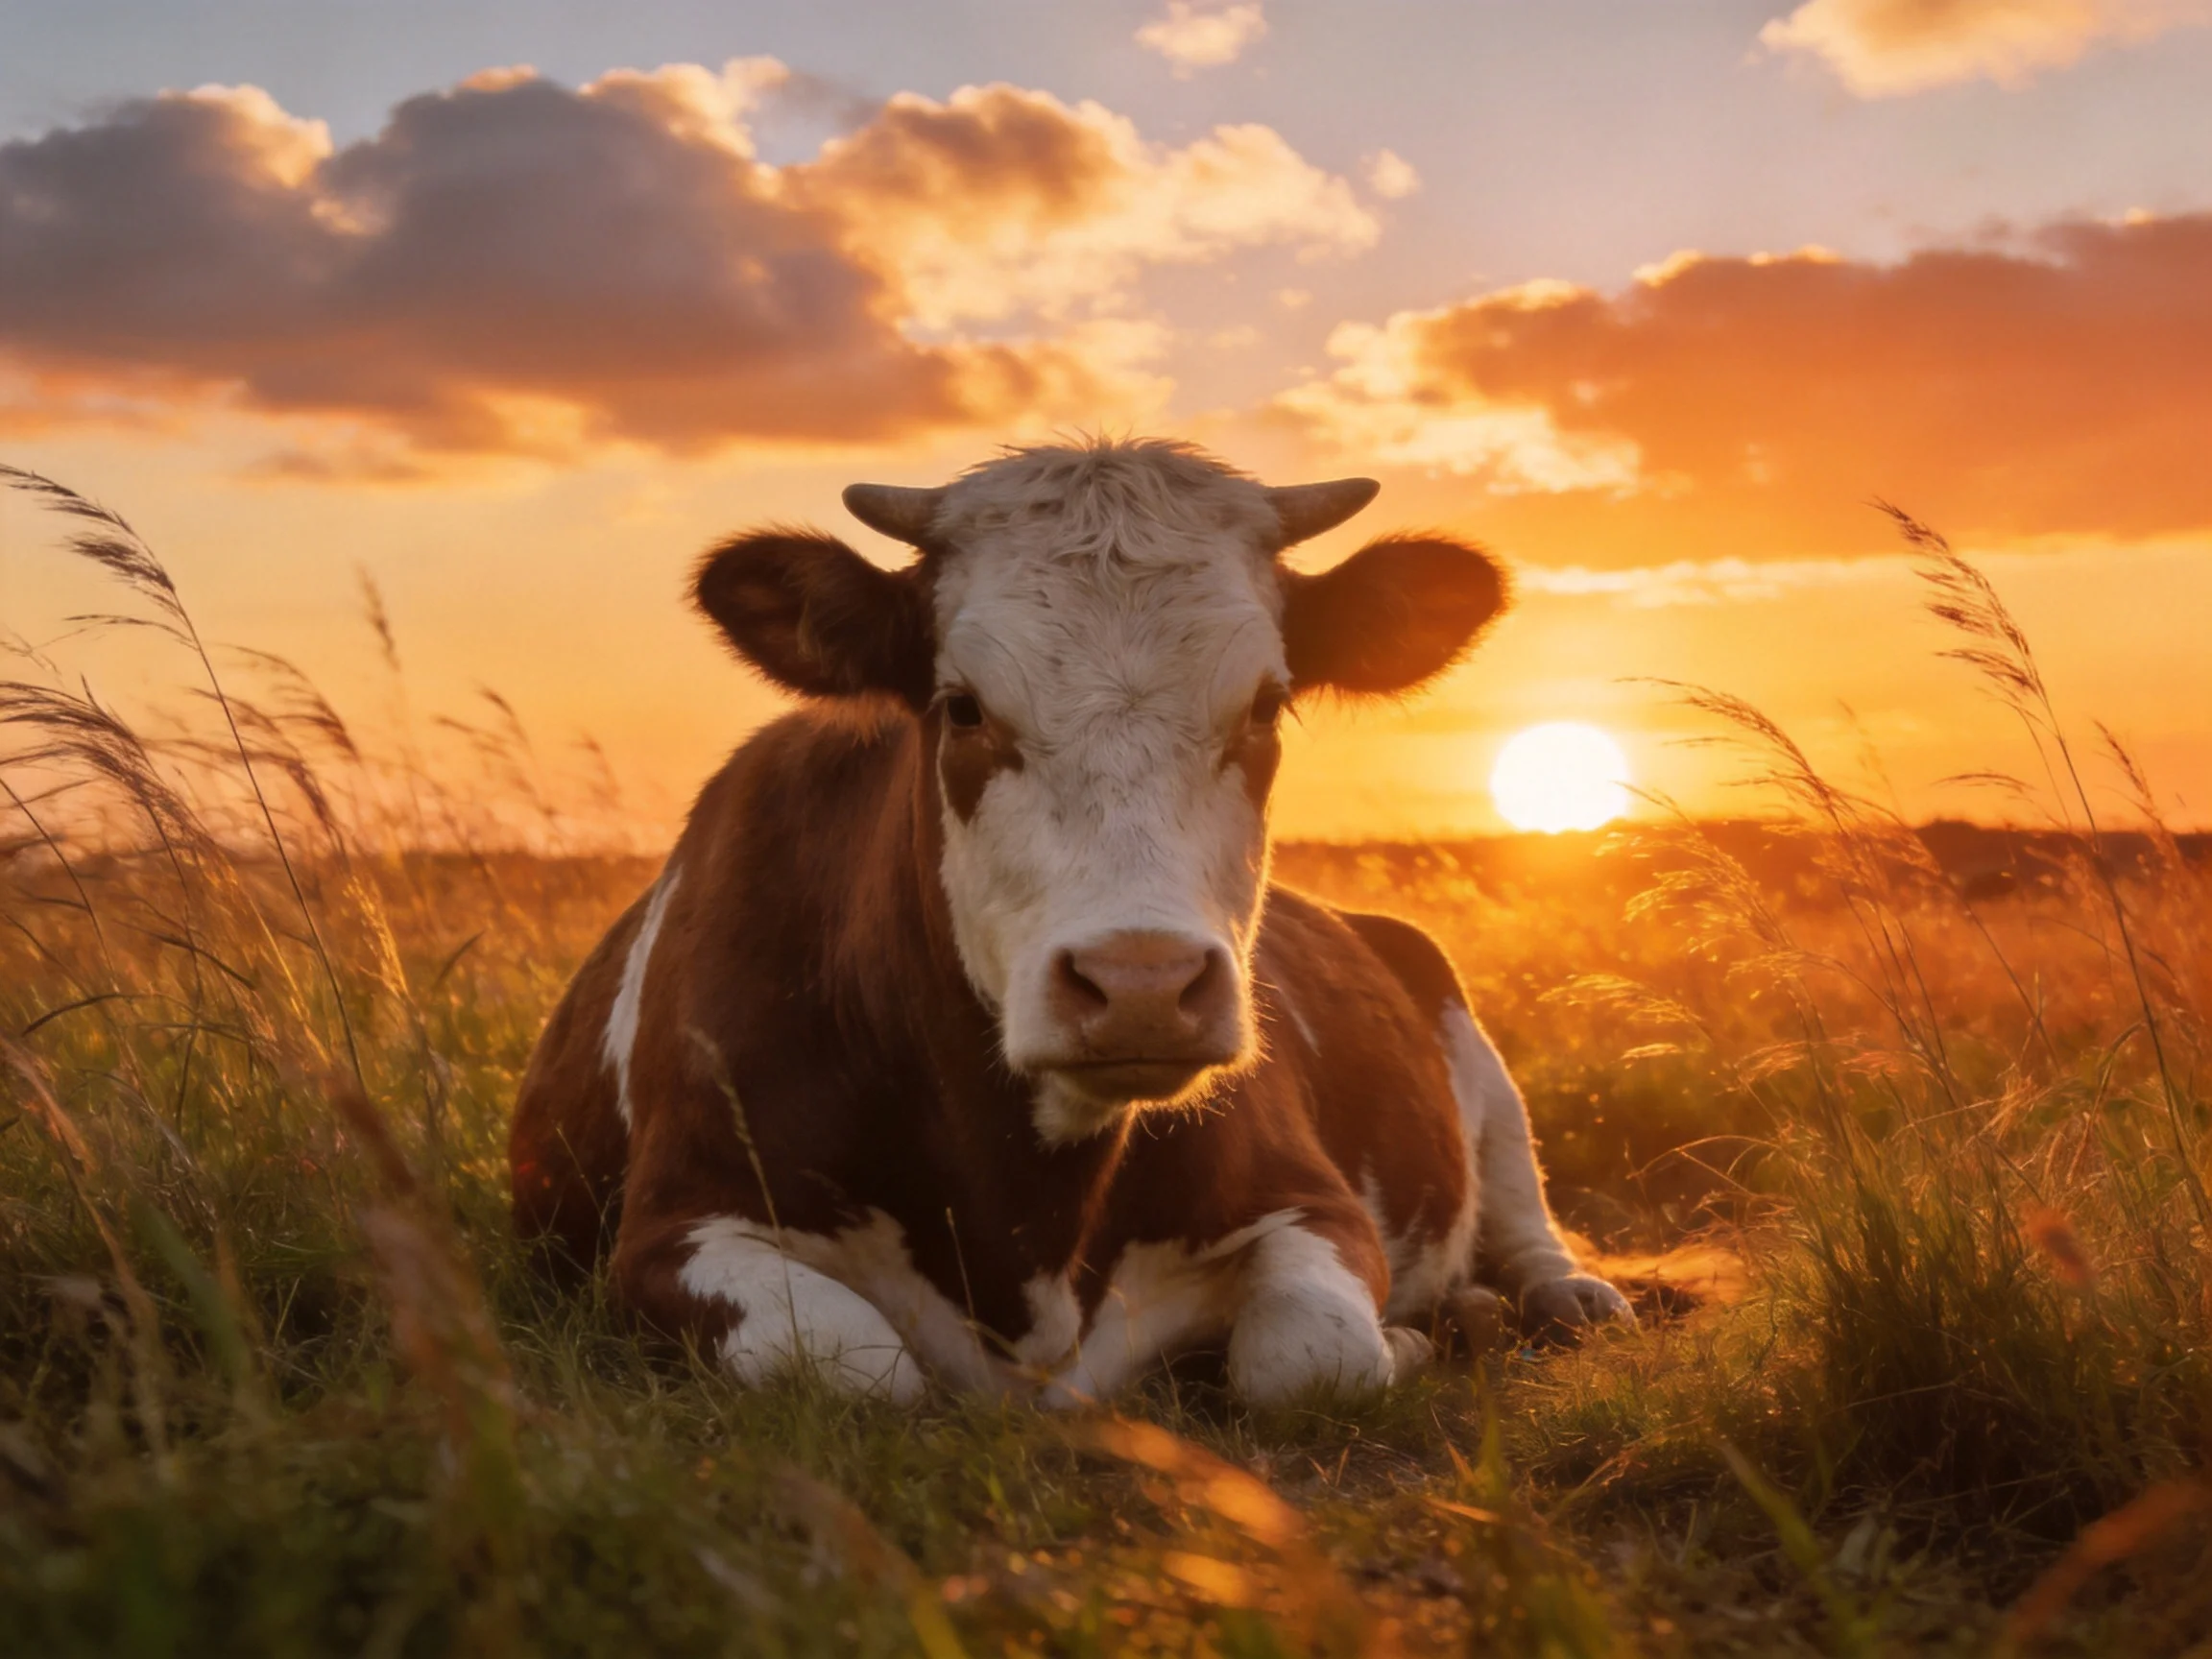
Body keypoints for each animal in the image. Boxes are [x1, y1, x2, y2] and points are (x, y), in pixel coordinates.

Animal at [510, 438, 1630, 1407]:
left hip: (1466, 1038)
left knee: (1522, 1207)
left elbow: (1313, 1355)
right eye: (962, 706)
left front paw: (1413, 1336)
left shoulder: (1316, 1202)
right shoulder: (672, 1230)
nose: (1142, 984)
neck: (1027, 1225)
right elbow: (853, 1365)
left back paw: (1561, 1295)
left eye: (1266, 706)